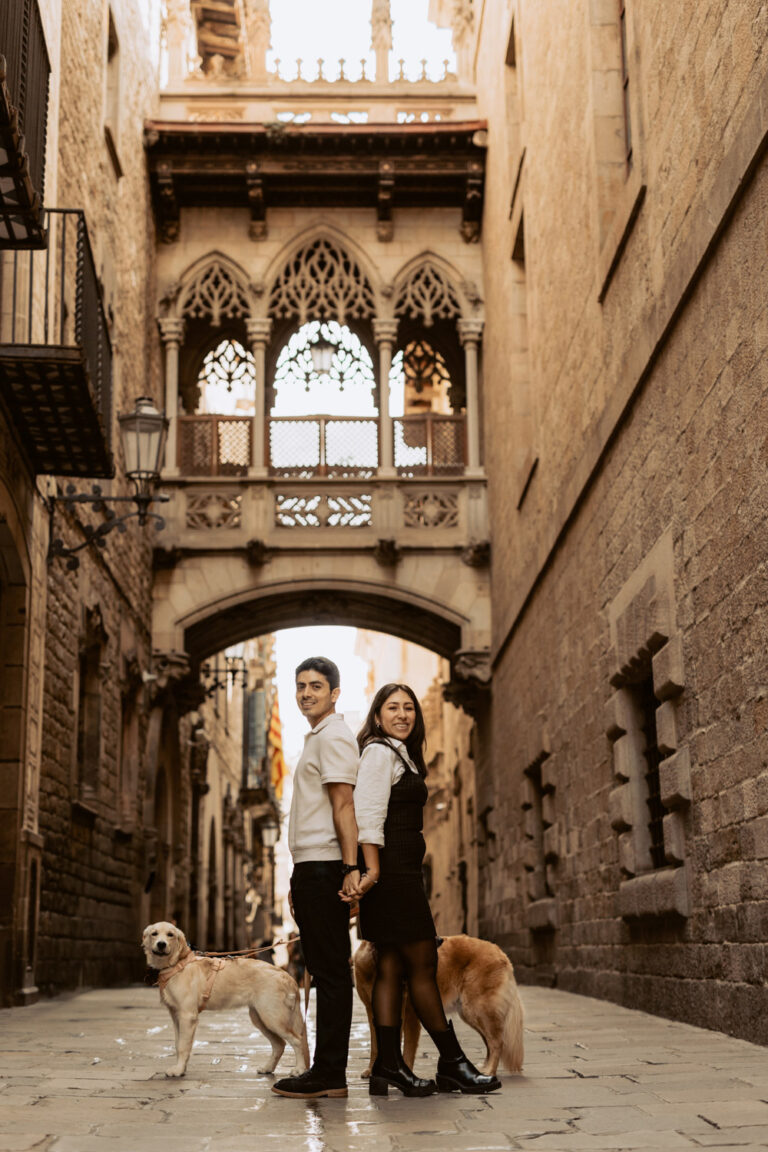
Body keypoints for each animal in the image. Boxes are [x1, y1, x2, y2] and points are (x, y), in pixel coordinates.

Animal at [142, 921, 310, 1073]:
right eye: (154, 934)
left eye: (170, 935)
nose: (161, 944)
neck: (177, 964)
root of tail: (288, 977)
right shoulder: (176, 1016)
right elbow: (177, 1045)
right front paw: (180, 1068)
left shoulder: (187, 1016)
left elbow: (183, 1046)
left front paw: (178, 1071)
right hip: (260, 1018)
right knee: (279, 1044)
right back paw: (267, 1068)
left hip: (273, 1018)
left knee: (297, 1041)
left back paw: (299, 1070)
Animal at [352, 935, 522, 1078]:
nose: (440, 940)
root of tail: (499, 951)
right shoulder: (372, 1012)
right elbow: (376, 1045)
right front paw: (372, 1070)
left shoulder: (409, 1016)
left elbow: (406, 1048)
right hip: (470, 1013)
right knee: (489, 1041)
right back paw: (482, 1069)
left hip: (477, 1008)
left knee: (497, 1042)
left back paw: (489, 1071)